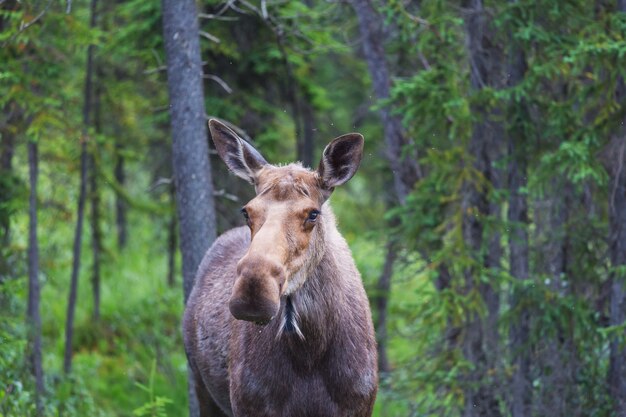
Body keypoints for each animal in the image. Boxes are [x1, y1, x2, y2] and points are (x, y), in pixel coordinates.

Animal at [180, 118, 376, 414]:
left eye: (313, 213)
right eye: (246, 211)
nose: (253, 289)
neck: (310, 349)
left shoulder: (360, 406)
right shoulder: (248, 406)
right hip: (202, 388)